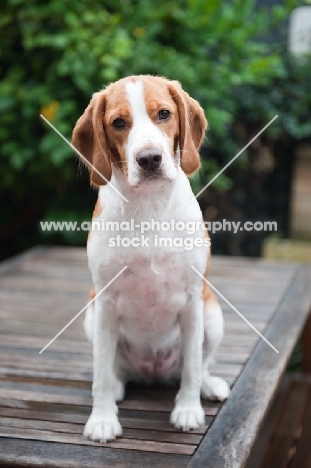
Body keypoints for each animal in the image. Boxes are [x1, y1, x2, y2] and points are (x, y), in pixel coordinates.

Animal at [72, 76, 230, 442]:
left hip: (212, 314)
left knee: (200, 364)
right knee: (113, 368)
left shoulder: (192, 300)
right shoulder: (105, 302)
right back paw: (118, 385)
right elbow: (101, 372)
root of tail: (154, 373)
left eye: (164, 114)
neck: (149, 206)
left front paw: (187, 410)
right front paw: (102, 418)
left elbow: (191, 367)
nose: (149, 159)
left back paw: (208, 385)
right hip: (91, 313)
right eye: (118, 123)